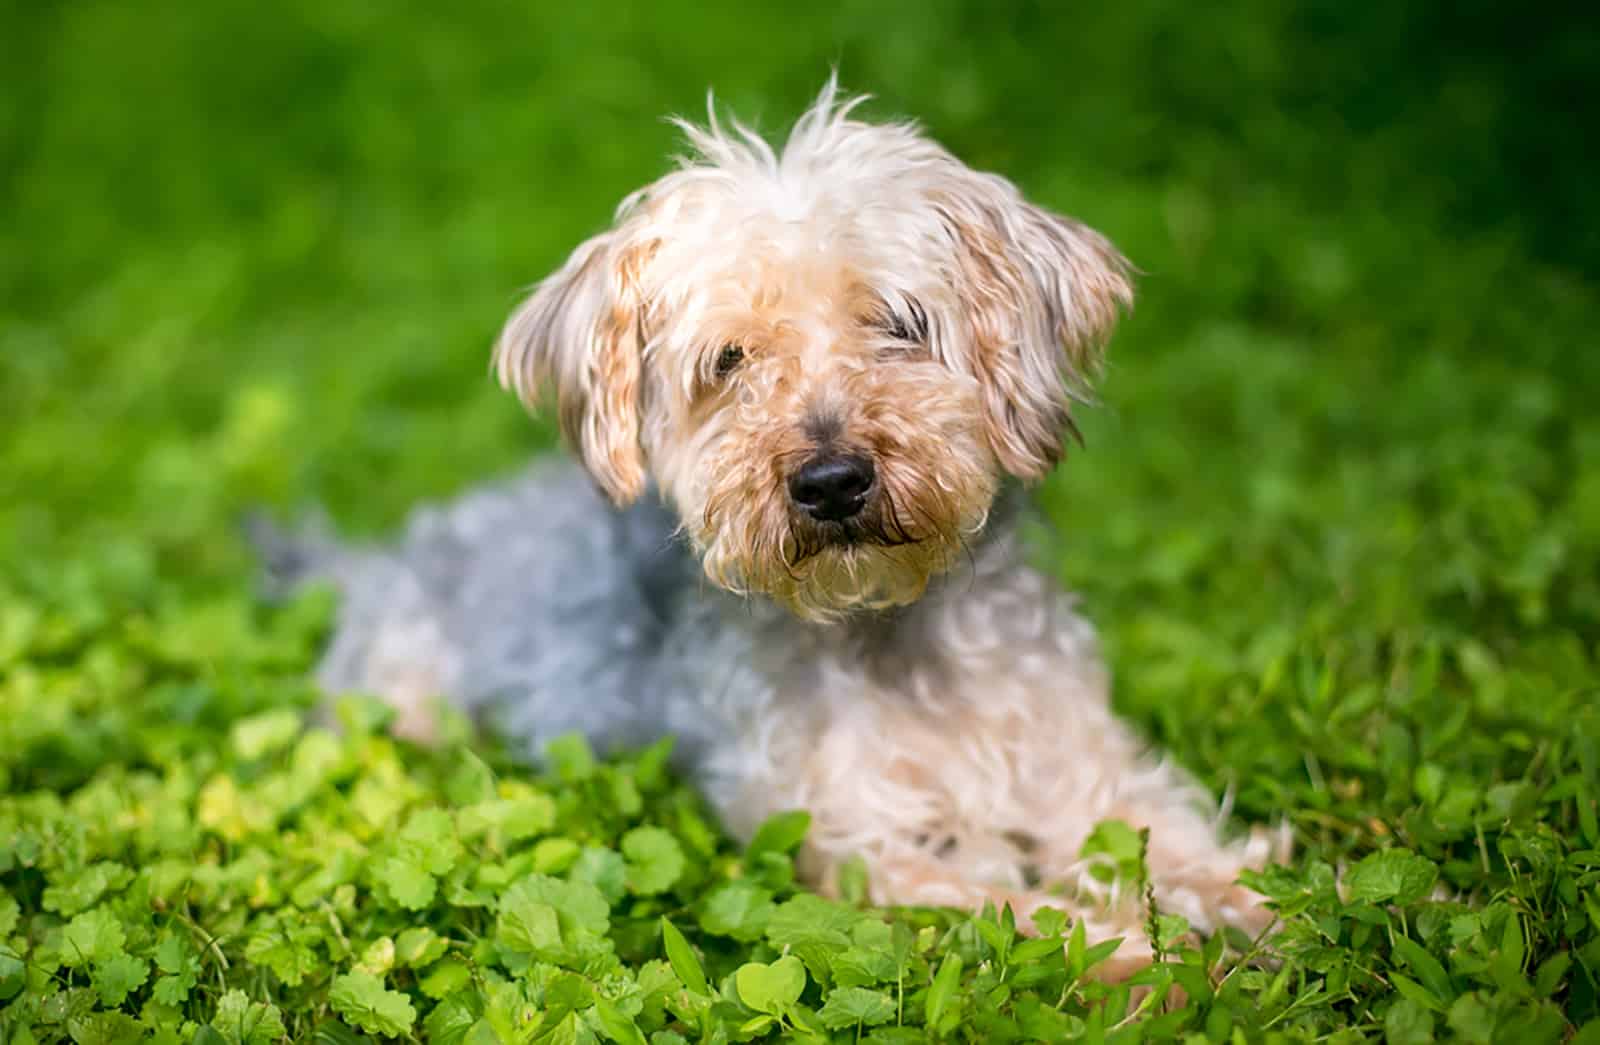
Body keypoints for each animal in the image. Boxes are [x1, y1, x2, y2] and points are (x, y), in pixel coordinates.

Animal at [262, 81, 1286, 979]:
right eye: (729, 359)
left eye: (899, 322)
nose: (831, 481)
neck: (888, 632)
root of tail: (376, 559)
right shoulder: (854, 845)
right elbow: (1015, 905)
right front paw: (1142, 952)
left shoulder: (1086, 770)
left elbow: (1174, 843)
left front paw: (1267, 909)